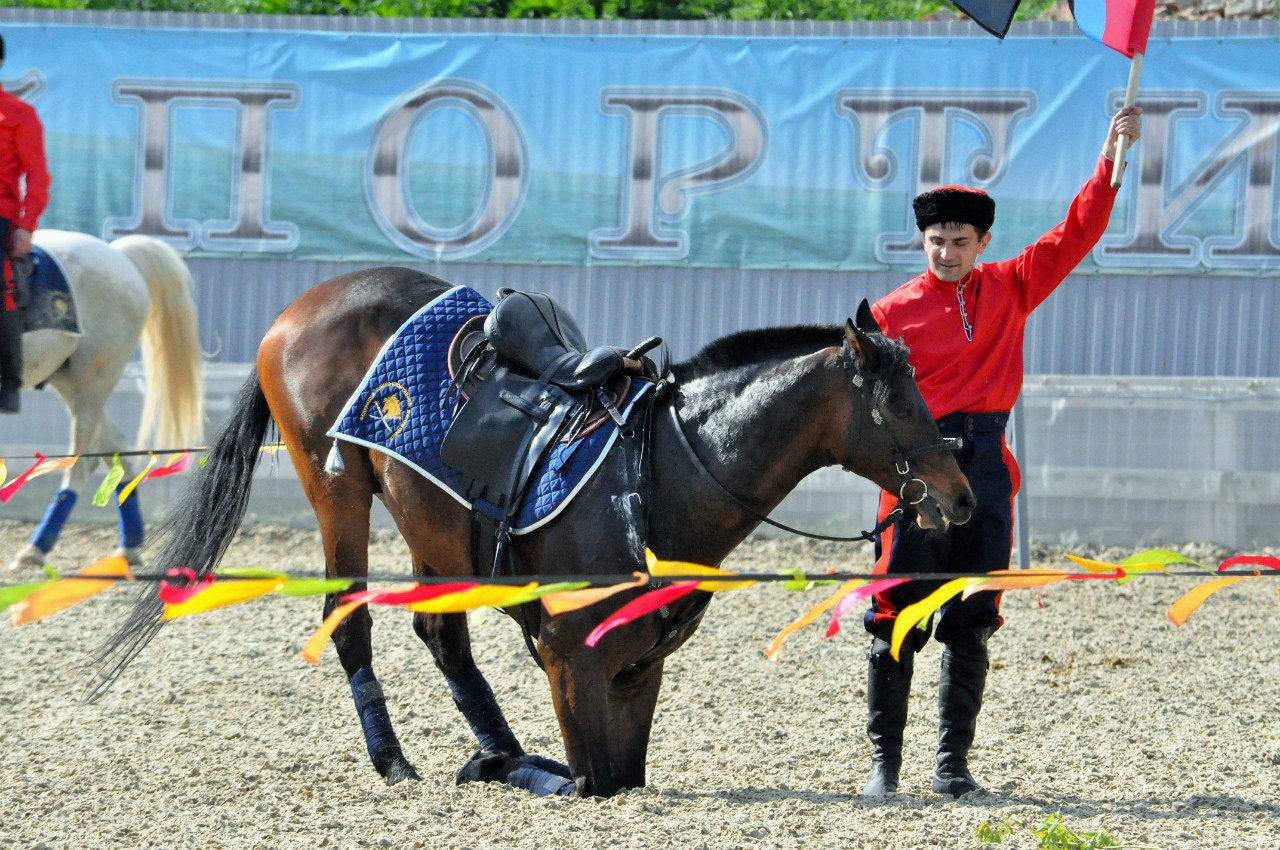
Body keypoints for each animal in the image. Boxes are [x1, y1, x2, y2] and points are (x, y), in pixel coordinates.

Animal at [6, 229, 202, 570]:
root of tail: (120, 255)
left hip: (93, 381)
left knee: (82, 462)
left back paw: (36, 549)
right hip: (71, 382)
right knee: (116, 448)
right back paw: (129, 545)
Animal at [92, 268, 967, 798]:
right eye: (898, 403)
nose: (957, 498)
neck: (656, 475)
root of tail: (302, 307)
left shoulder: (638, 670)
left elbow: (622, 775)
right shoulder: (570, 661)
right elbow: (595, 780)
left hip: (428, 522)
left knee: (441, 635)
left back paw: (500, 754)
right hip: (337, 490)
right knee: (352, 623)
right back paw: (397, 760)